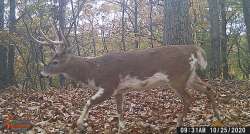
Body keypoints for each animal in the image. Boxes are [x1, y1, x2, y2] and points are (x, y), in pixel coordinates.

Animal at [26, 23, 220, 132]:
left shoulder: (109, 84)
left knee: (189, 98)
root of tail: (193, 49)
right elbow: (119, 109)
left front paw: (80, 125)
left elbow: (89, 102)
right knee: (208, 88)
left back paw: (178, 124)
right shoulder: (119, 90)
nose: (41, 74)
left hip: (177, 77)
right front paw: (122, 127)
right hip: (190, 76)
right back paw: (217, 116)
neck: (93, 71)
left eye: (55, 61)